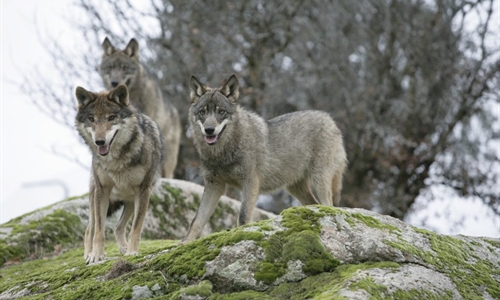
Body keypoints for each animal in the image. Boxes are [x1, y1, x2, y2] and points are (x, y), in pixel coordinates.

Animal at [75, 84, 164, 262]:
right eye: (91, 119)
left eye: (111, 118)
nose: (99, 142)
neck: (116, 161)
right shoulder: (102, 191)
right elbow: (99, 231)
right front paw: (96, 256)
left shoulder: (143, 190)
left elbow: (136, 227)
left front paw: (132, 252)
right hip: (95, 198)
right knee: (89, 230)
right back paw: (88, 254)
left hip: (130, 201)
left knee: (118, 227)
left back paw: (124, 248)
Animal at [183, 74, 348, 241]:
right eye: (202, 112)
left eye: (221, 112)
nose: (209, 130)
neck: (222, 153)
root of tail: (330, 119)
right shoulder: (214, 185)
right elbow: (196, 221)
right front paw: (185, 242)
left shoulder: (250, 182)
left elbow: (243, 217)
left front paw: (241, 234)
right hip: (295, 188)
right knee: (315, 204)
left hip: (319, 181)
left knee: (329, 206)